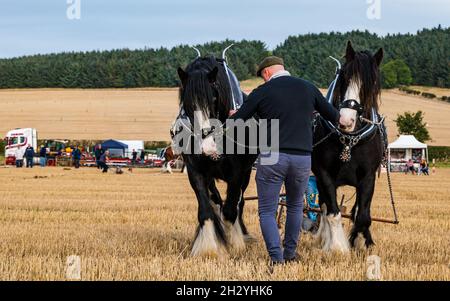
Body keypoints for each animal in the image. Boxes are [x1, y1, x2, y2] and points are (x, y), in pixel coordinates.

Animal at [172, 54, 256, 255]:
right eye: (187, 103)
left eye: (214, 98)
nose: (208, 147)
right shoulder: (195, 172)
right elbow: (206, 210)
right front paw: (208, 248)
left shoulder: (237, 173)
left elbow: (231, 209)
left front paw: (235, 244)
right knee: (217, 201)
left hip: (247, 173)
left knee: (238, 203)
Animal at [312, 41, 386, 251]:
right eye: (343, 76)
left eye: (372, 83)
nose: (345, 120)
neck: (349, 141)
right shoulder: (324, 174)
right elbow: (332, 212)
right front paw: (337, 247)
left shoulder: (368, 177)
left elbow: (362, 216)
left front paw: (361, 242)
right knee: (324, 206)